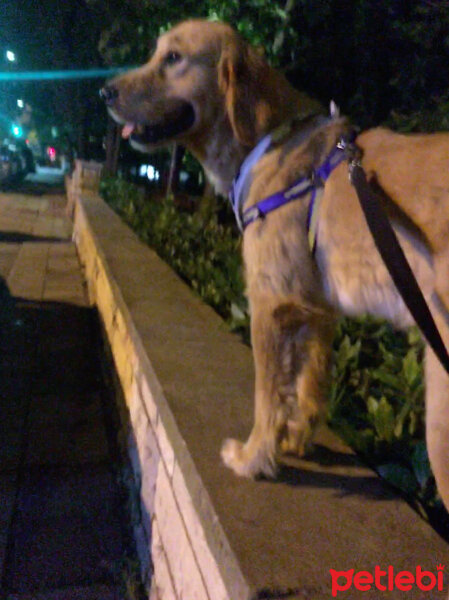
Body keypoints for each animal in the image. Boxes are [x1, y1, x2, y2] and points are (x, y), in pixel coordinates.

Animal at [101, 17, 448, 510]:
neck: (262, 141)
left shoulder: (271, 302)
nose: (104, 92)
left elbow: (268, 395)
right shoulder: (317, 309)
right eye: (155, 53)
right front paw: (297, 440)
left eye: (173, 58)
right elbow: (309, 385)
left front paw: (255, 458)